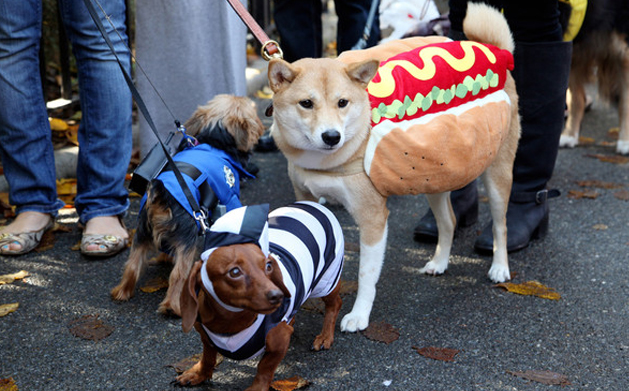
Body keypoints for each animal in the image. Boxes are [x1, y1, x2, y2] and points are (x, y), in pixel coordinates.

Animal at [110, 94, 262, 316]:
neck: (214, 142)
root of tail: (163, 194)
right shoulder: (230, 198)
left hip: (142, 231)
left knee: (132, 263)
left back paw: (122, 292)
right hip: (187, 236)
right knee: (178, 274)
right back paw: (173, 307)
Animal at [175, 204, 344, 390]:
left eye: (268, 265)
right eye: (234, 272)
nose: (278, 296)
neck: (230, 321)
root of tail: (312, 205)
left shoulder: (279, 342)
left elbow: (265, 367)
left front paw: (258, 386)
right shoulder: (206, 338)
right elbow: (207, 357)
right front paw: (198, 374)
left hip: (327, 281)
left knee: (335, 304)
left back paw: (325, 336)